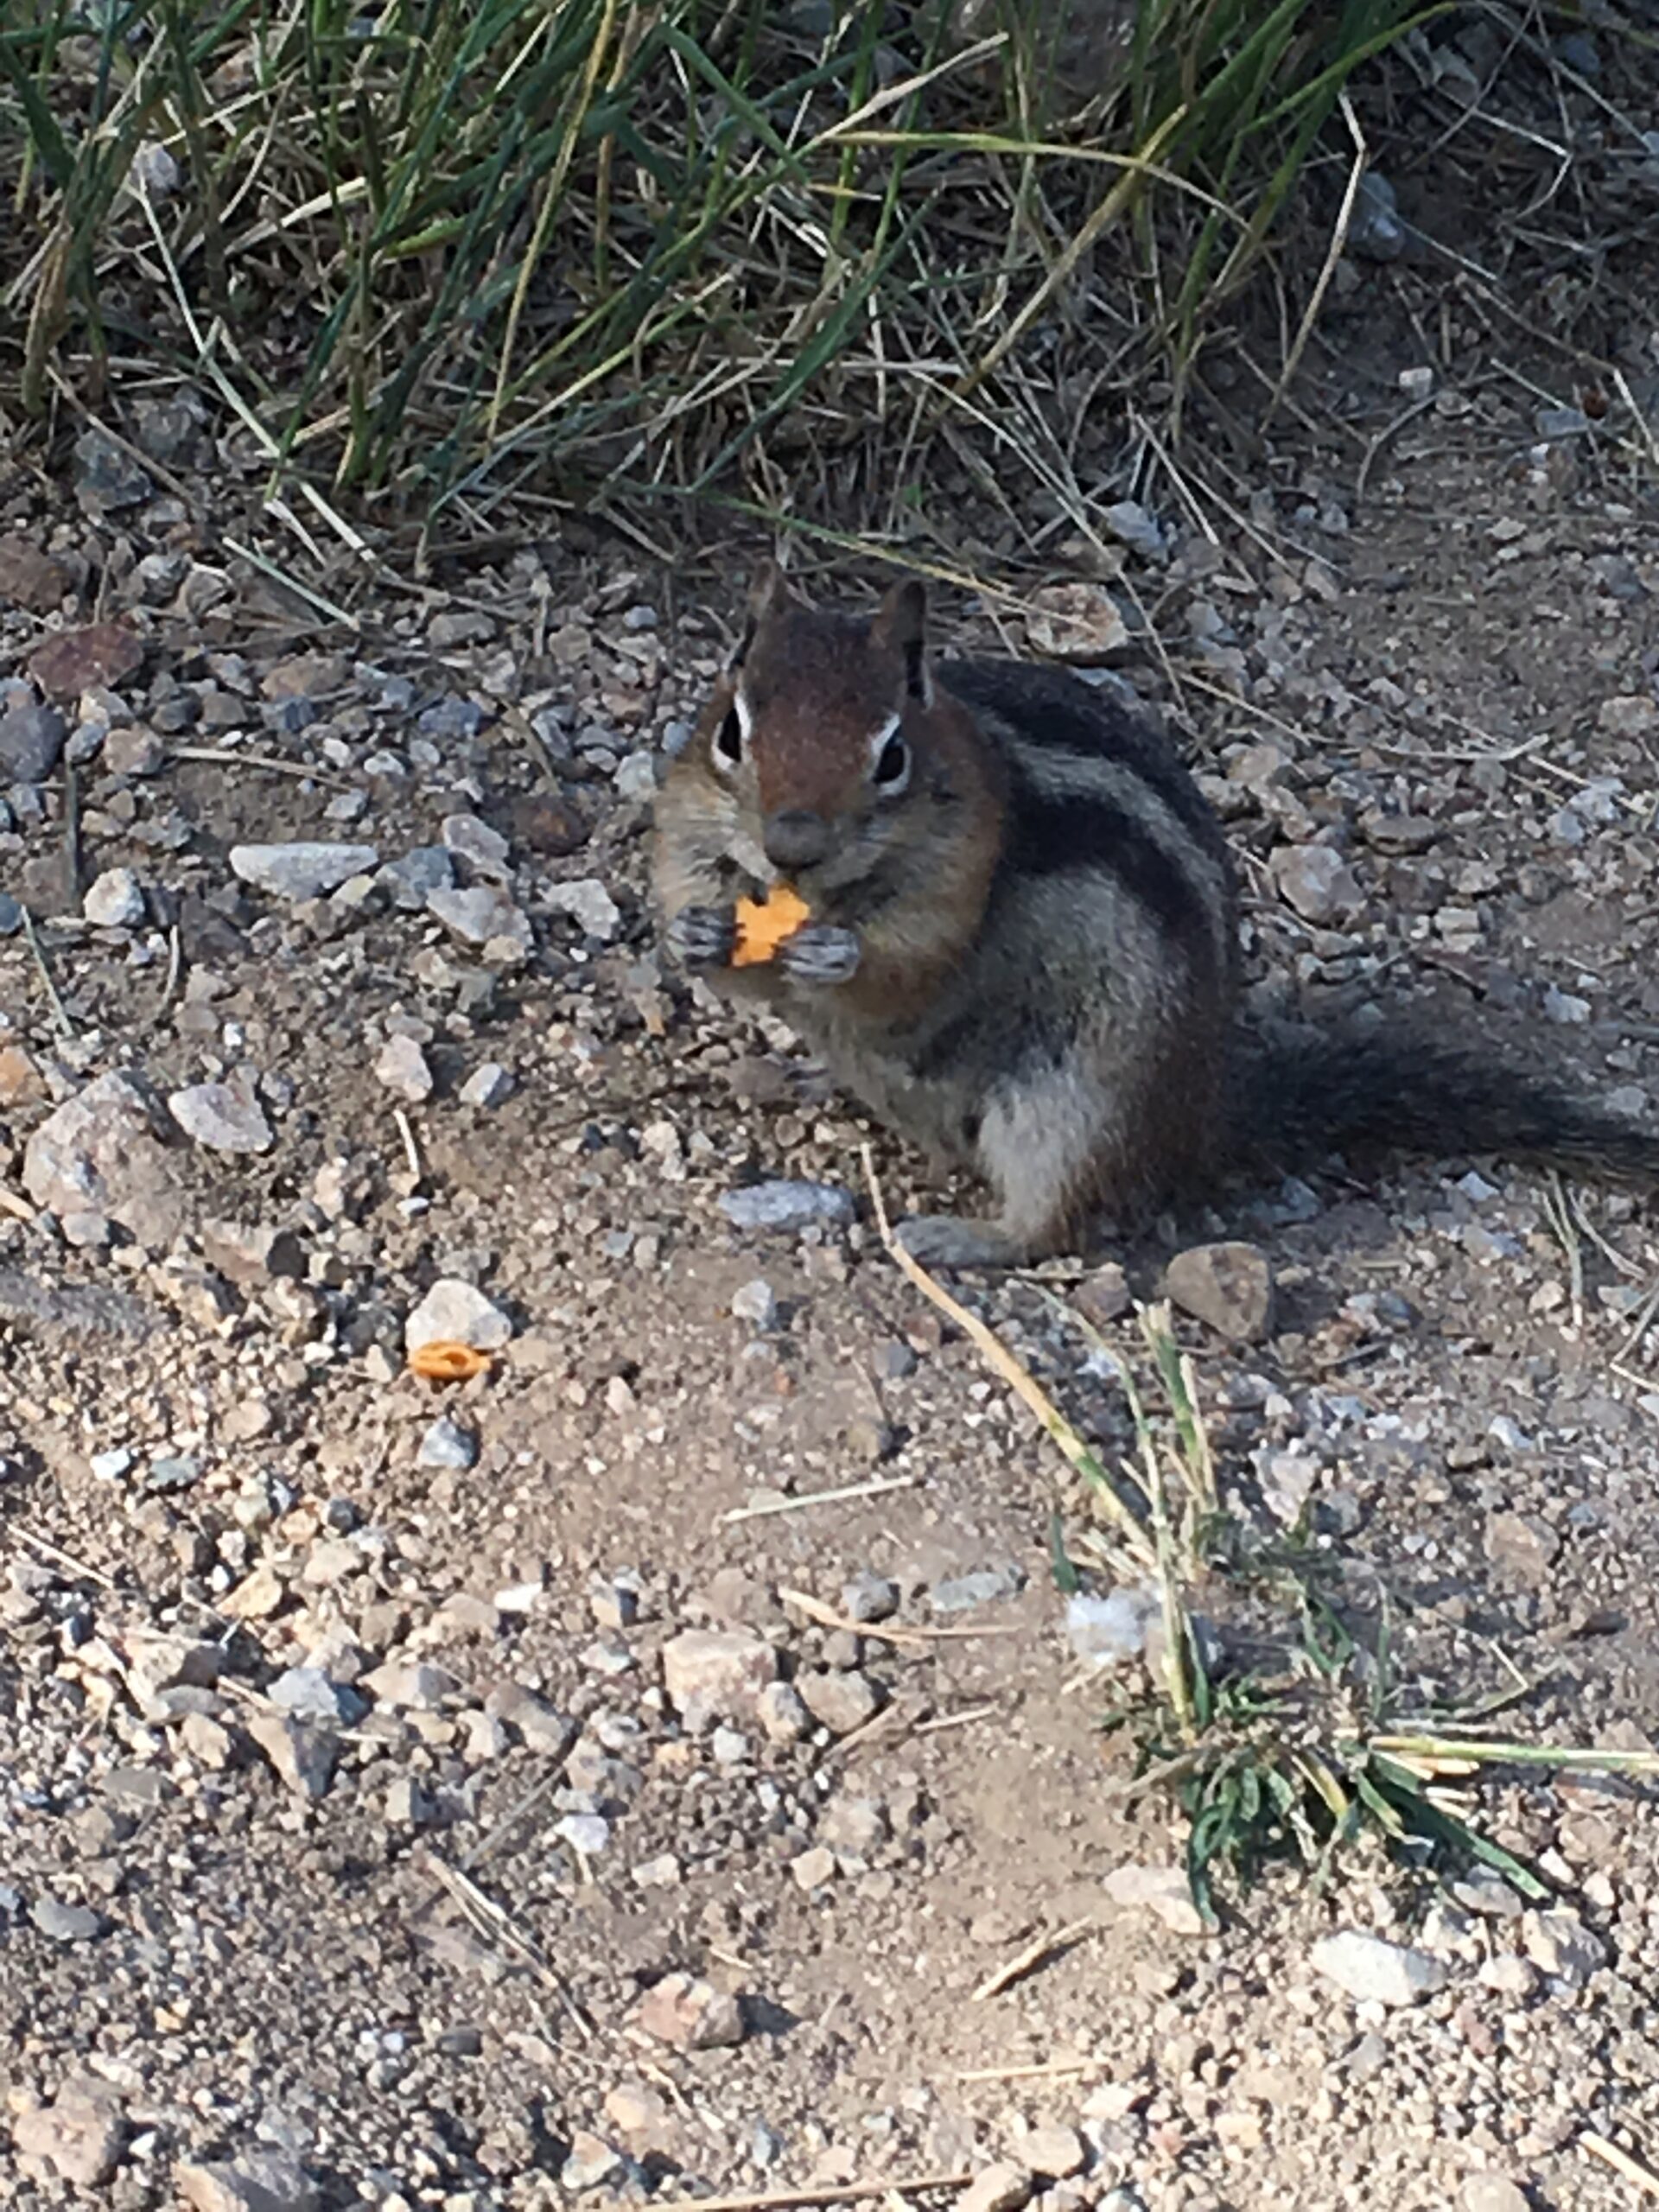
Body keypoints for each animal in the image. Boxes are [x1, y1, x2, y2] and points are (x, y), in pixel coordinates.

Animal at [653, 563, 1659, 1269]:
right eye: (731, 731)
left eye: (891, 756)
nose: (791, 844)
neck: (829, 890)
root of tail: (1203, 1116)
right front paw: (694, 936)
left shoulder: (956, 885)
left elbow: (908, 970)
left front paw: (837, 956)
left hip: (1074, 1109)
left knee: (1056, 1221)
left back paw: (963, 1240)